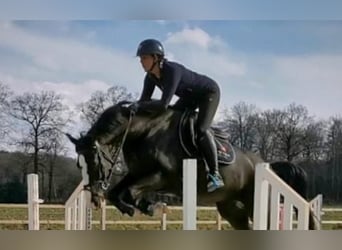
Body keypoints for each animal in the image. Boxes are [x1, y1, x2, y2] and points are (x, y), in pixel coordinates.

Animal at [67, 100, 318, 229]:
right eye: (80, 166)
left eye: (94, 161)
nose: (94, 197)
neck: (143, 131)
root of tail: (266, 164)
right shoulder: (137, 173)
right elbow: (118, 192)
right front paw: (142, 206)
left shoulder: (162, 176)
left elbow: (128, 192)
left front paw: (145, 207)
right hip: (230, 208)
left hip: (257, 203)